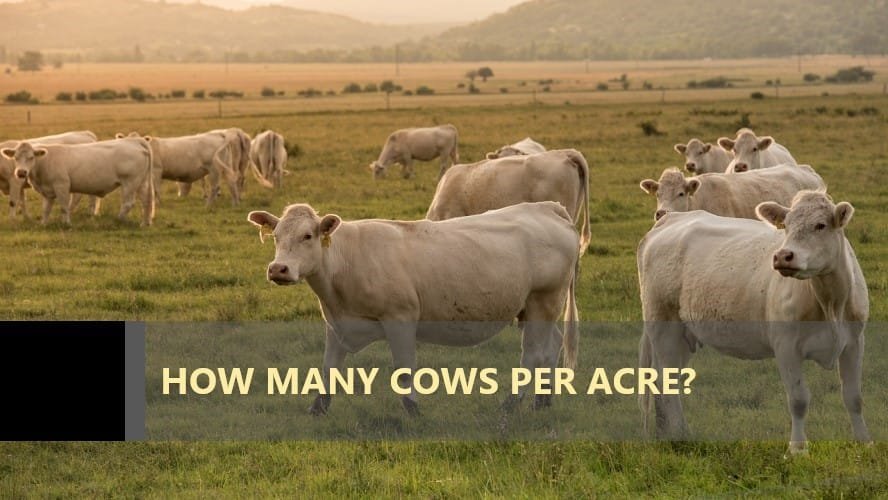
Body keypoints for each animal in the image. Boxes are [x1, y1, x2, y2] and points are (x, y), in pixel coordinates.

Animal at [1, 138, 154, 226]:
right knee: (146, 202)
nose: (21, 173)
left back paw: (118, 220)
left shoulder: (61, 186)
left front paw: (66, 223)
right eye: (15, 157)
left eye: (31, 157)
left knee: (128, 203)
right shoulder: (47, 192)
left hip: (130, 183)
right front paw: (43, 224)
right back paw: (145, 223)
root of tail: (134, 141)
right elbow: (46, 209)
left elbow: (64, 206)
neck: (45, 161)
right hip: (141, 183)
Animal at [247, 201, 580, 415]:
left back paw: (511, 403)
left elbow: (404, 369)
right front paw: (318, 407)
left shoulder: (400, 319)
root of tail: (546, 208)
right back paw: (542, 401)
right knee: (550, 347)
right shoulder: (337, 323)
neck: (347, 259)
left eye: (307, 236)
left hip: (543, 300)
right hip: (538, 308)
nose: (278, 269)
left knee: (533, 355)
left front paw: (413, 409)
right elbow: (328, 368)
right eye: (276, 237)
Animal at [637, 191, 870, 455]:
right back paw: (679, 435)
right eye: (786, 225)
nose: (783, 256)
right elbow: (799, 399)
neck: (830, 303)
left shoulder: (854, 342)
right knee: (667, 382)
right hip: (663, 323)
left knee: (667, 378)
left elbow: (853, 397)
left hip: (684, 335)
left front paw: (864, 441)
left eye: (820, 225)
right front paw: (797, 449)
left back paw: (668, 432)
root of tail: (670, 219)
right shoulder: (786, 346)